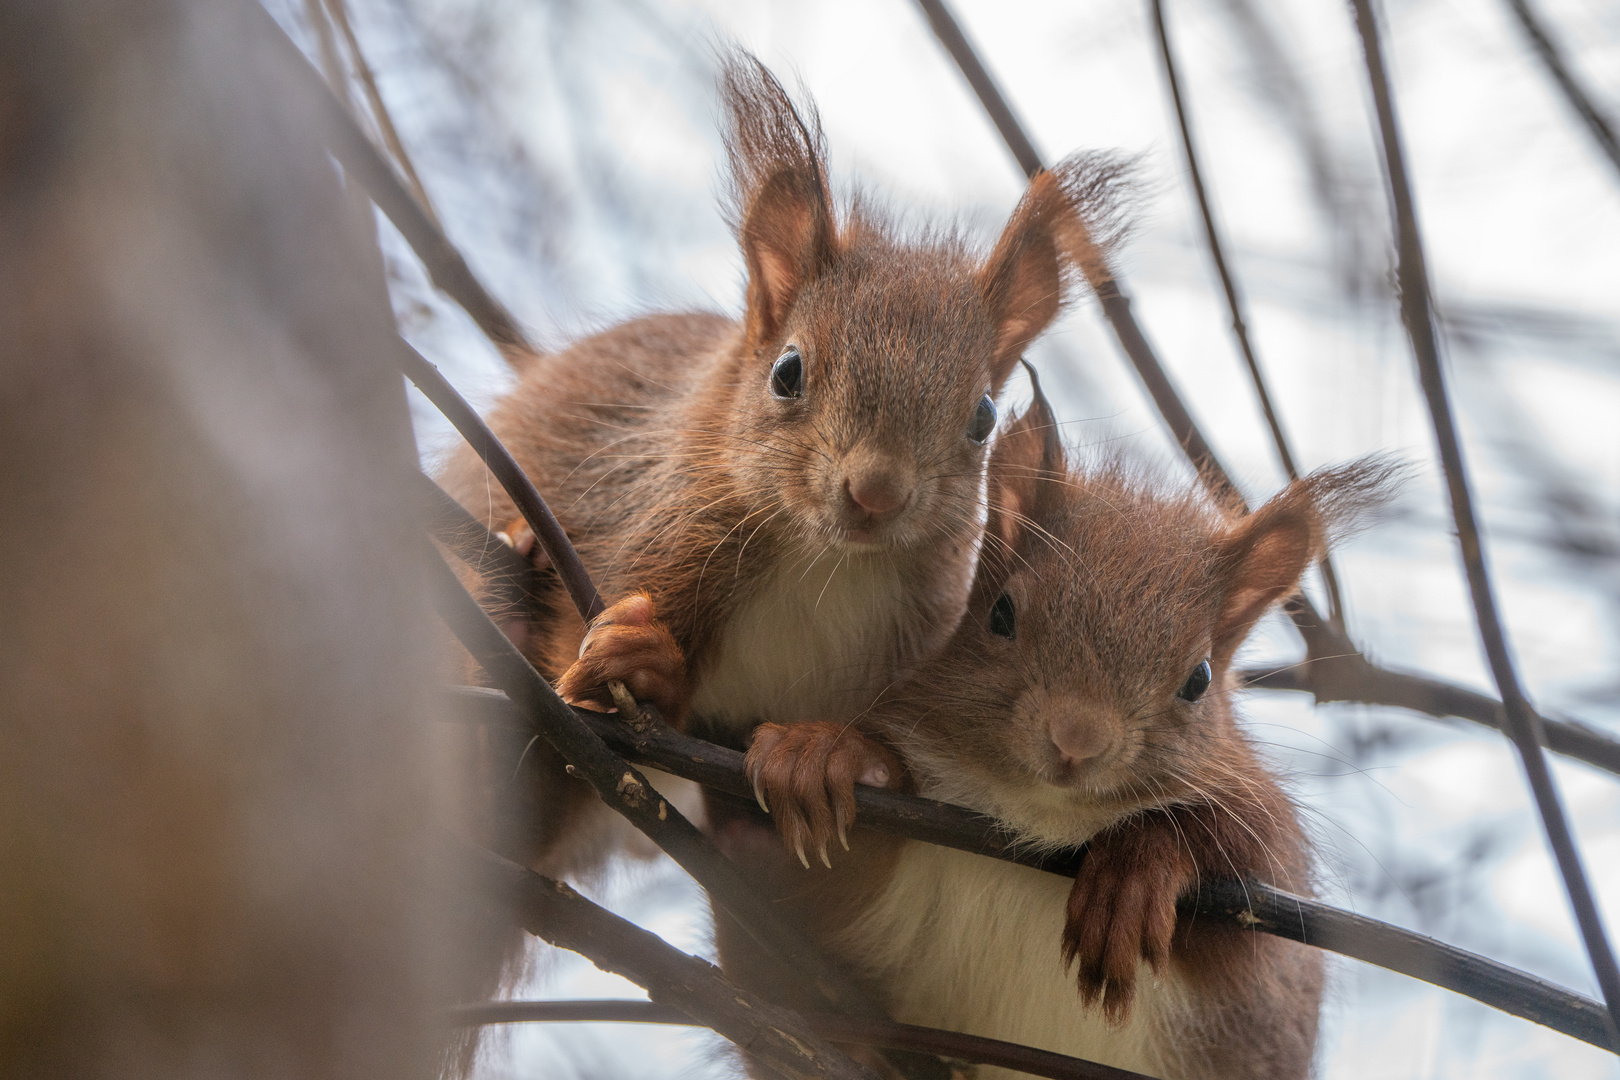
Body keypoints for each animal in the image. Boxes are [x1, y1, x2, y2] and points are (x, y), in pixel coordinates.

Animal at [437, 52, 1134, 880]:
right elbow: (592, 722)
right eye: (787, 372)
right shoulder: (651, 534)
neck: (824, 563)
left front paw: (827, 759)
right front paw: (641, 664)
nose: (876, 492)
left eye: (984, 418)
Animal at [729, 383, 1399, 1075]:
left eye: (1200, 678)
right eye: (1000, 614)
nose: (1077, 738)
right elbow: (833, 869)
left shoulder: (1264, 924)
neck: (1039, 813)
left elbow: (1236, 868)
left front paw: (1132, 875)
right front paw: (824, 754)